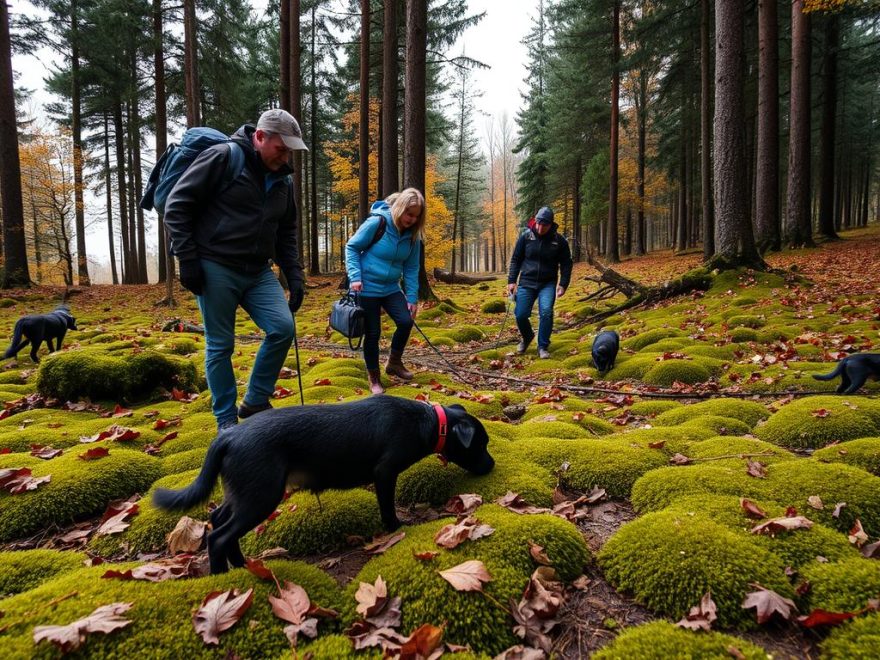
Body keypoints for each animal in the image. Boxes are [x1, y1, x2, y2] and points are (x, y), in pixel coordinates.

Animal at [153, 398, 496, 572]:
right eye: (481, 444)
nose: (492, 465)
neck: (428, 420)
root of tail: (227, 436)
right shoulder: (385, 473)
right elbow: (387, 508)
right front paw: (397, 527)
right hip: (261, 496)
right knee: (219, 537)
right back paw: (222, 577)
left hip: (243, 491)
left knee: (217, 519)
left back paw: (241, 565)